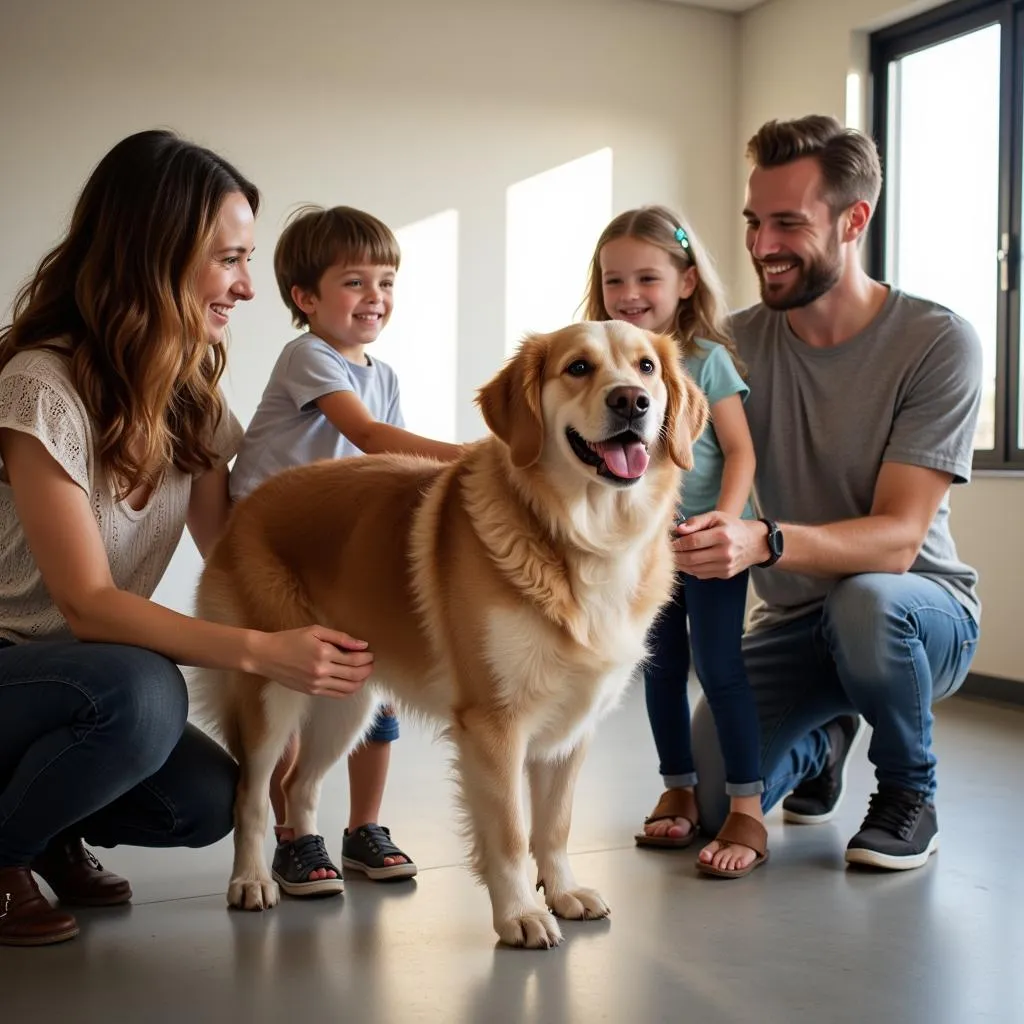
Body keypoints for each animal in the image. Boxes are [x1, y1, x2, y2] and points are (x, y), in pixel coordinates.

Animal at [192, 321, 708, 950]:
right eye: (579, 368)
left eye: (646, 369)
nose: (631, 401)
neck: (578, 535)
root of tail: (249, 505)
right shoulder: (493, 725)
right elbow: (510, 832)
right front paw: (520, 914)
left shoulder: (572, 726)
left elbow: (555, 825)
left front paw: (563, 892)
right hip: (273, 691)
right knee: (252, 793)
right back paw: (251, 880)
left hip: (347, 700)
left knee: (298, 786)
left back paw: (309, 866)